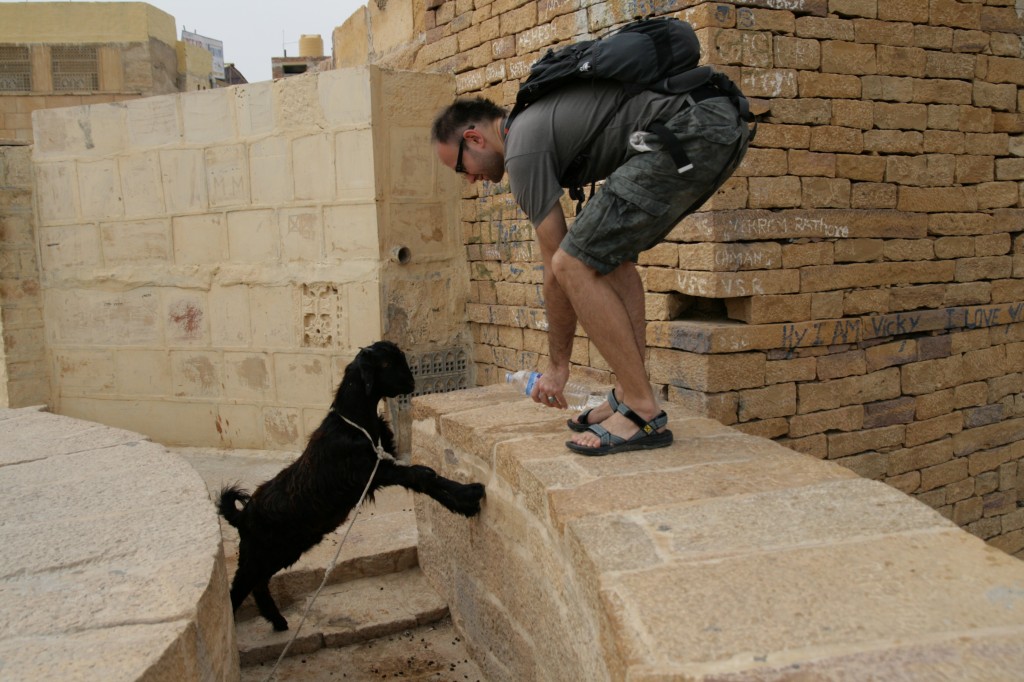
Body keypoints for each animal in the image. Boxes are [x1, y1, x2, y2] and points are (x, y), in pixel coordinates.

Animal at [217, 342, 487, 630]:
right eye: (386, 363)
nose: (411, 382)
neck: (354, 422)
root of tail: (242, 516)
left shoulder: (381, 465)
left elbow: (421, 476)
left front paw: (465, 499)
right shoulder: (372, 471)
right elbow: (421, 475)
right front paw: (468, 496)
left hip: (282, 551)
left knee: (258, 585)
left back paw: (278, 621)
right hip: (258, 554)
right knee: (238, 590)